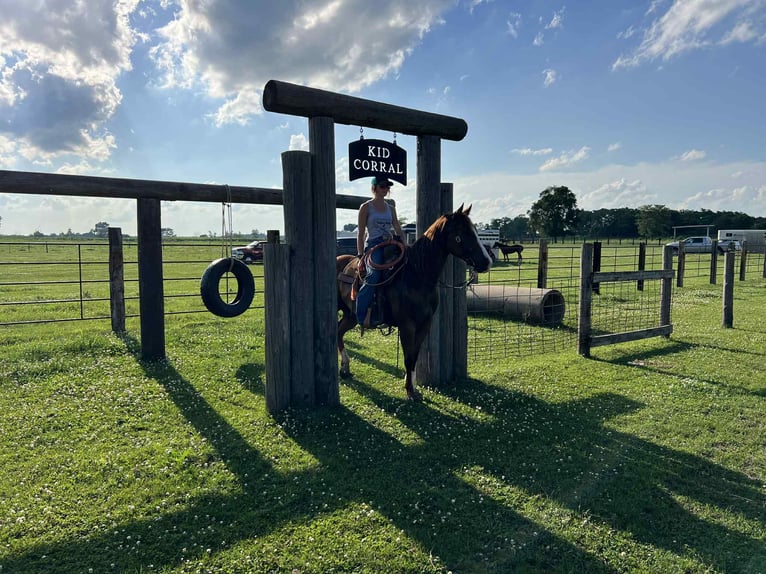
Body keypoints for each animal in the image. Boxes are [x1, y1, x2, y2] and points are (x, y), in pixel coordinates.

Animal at [336, 204, 493, 401]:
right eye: (462, 233)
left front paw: (413, 386)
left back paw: (345, 368)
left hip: (351, 315)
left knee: (339, 332)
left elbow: (415, 356)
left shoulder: (425, 324)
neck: (417, 275)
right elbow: (408, 357)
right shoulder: (407, 325)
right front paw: (410, 391)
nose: (487, 262)